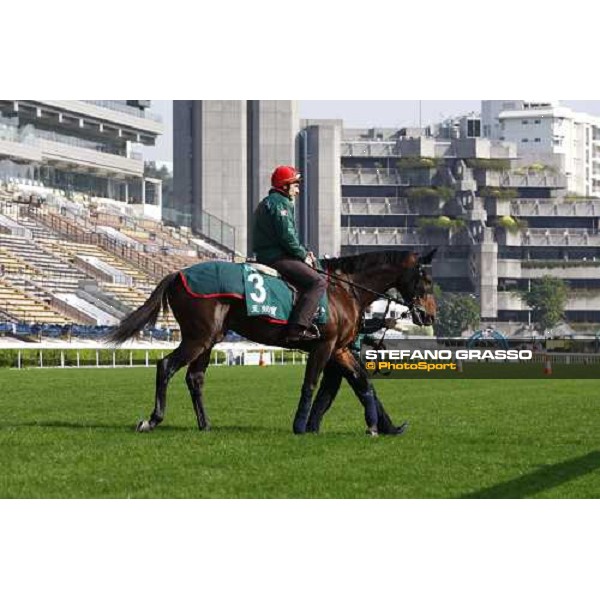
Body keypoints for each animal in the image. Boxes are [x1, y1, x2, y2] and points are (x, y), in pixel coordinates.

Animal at [108, 250, 436, 436]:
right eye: (427, 281)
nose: (430, 315)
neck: (343, 289)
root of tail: (177, 273)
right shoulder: (324, 346)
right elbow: (311, 384)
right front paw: (301, 426)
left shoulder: (340, 349)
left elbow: (362, 382)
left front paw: (379, 425)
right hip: (198, 337)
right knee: (166, 366)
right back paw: (152, 420)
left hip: (209, 339)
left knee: (195, 378)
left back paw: (205, 424)